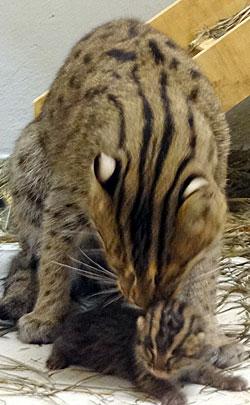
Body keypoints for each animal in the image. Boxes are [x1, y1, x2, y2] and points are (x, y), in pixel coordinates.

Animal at [0, 18, 237, 356]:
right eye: (118, 260)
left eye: (174, 268)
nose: (142, 300)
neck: (157, 144)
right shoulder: (63, 199)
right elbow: (54, 258)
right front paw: (47, 313)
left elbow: (205, 276)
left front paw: (210, 331)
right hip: (28, 162)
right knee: (27, 254)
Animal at [47, 298, 248, 402]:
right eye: (150, 348)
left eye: (175, 354)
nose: (158, 368)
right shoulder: (146, 373)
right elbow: (162, 384)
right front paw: (175, 396)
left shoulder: (196, 365)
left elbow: (211, 372)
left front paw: (232, 380)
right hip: (75, 344)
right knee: (59, 343)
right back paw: (55, 359)